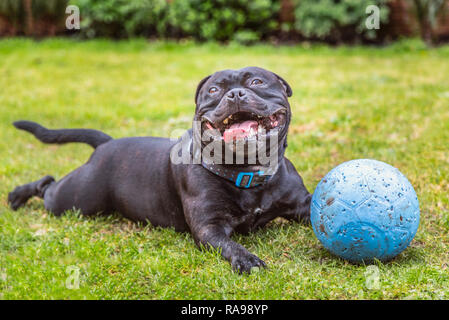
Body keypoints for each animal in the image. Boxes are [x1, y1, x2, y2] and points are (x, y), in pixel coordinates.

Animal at [8, 66, 310, 274]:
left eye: (257, 81)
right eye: (213, 90)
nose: (235, 93)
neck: (247, 170)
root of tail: (106, 143)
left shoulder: (303, 204)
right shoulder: (209, 228)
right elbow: (230, 245)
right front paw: (246, 259)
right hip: (75, 200)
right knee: (47, 186)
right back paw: (17, 195)